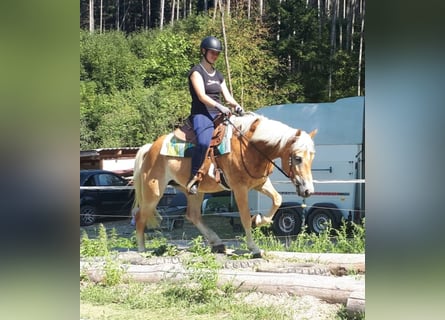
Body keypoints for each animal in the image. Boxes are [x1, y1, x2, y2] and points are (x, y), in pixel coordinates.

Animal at [132, 112, 316, 258]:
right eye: (298, 158)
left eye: (312, 156)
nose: (308, 190)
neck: (250, 147)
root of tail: (151, 147)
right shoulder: (240, 189)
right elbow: (244, 218)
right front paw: (254, 247)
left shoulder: (260, 183)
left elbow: (277, 200)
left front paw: (259, 219)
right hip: (154, 191)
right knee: (140, 216)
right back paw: (142, 249)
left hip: (194, 190)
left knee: (193, 215)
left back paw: (217, 243)